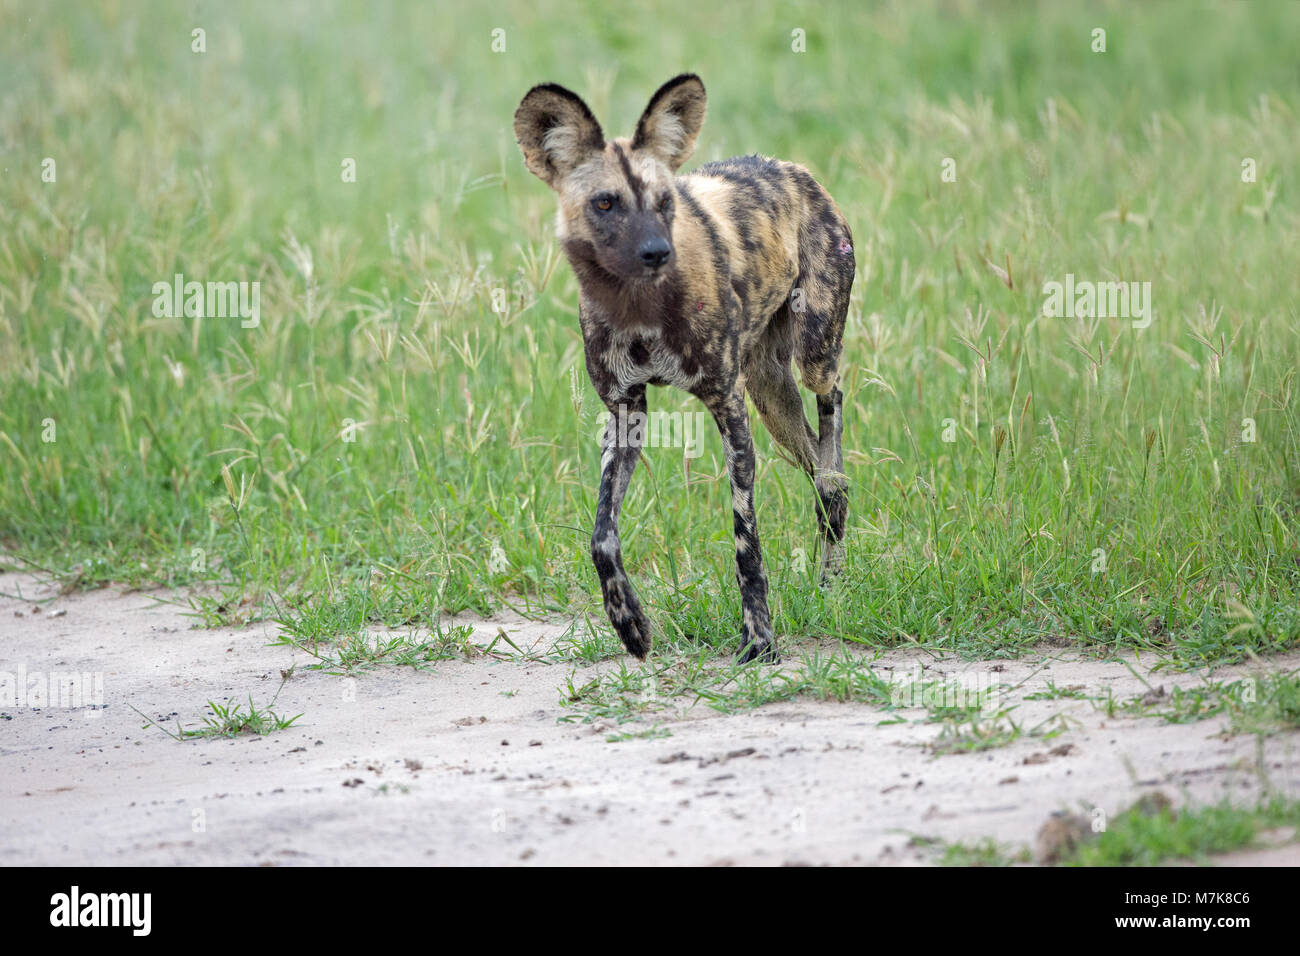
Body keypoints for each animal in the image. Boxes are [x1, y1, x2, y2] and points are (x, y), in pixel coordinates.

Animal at [512, 74, 857, 660]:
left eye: (664, 201)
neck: (641, 308)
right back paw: (830, 555)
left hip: (809, 356)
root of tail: (794, 170)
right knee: (821, 471)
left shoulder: (728, 408)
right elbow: (602, 536)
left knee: (831, 409)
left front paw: (759, 641)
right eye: (605, 202)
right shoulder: (625, 415)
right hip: (771, 397)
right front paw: (628, 623)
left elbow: (746, 544)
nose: (656, 250)